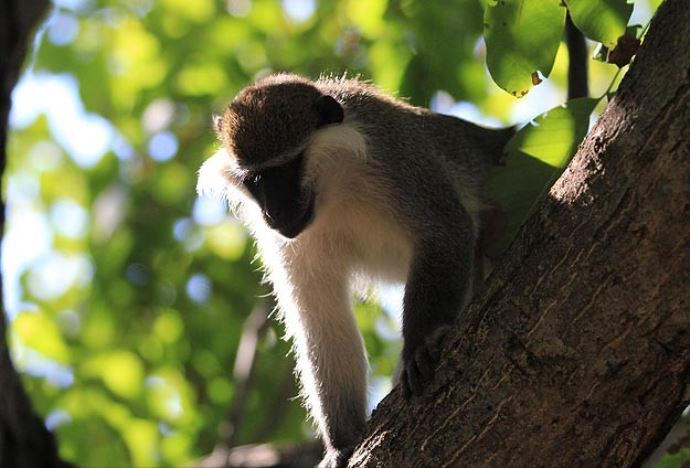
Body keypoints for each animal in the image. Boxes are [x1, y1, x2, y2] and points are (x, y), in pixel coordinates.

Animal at [196, 71, 512, 466]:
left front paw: (420, 343)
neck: (334, 183)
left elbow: (446, 230)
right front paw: (341, 441)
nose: (274, 213)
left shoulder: (395, 155)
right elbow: (320, 319)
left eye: (285, 170)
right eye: (256, 180)